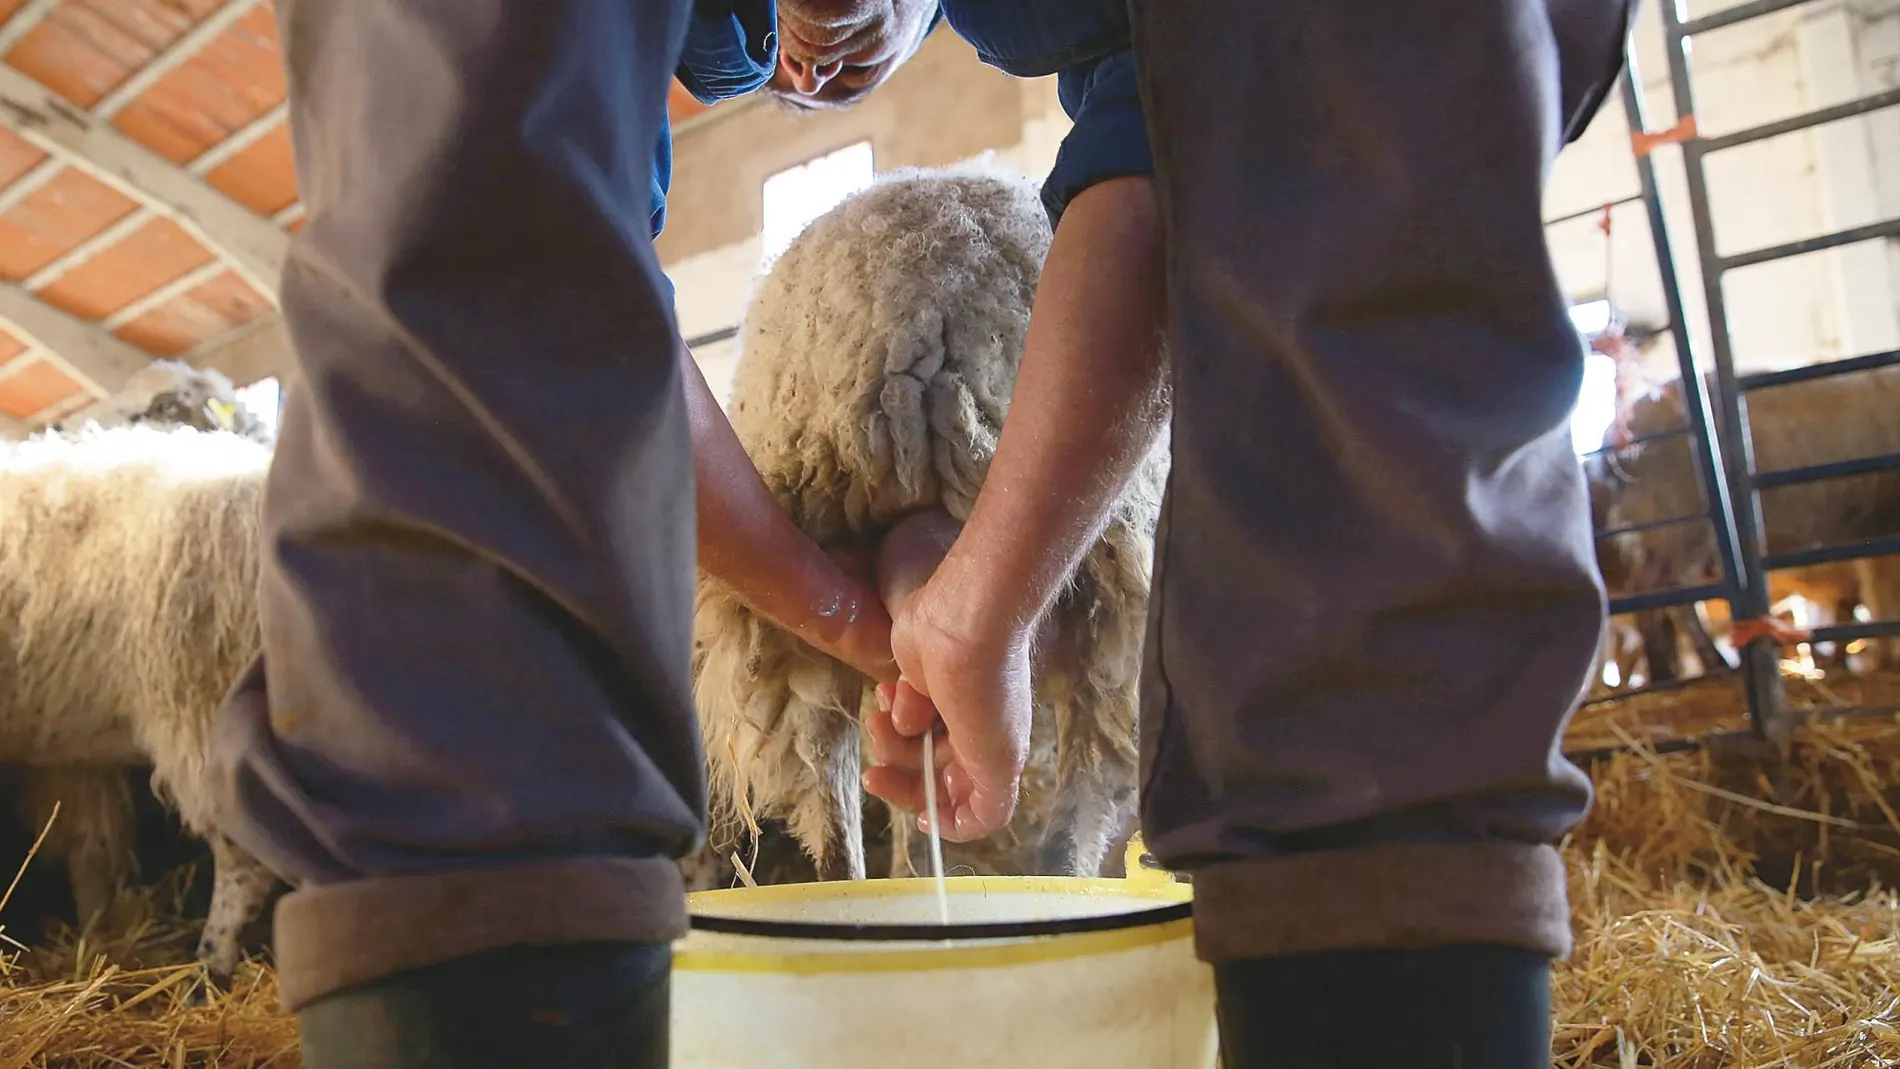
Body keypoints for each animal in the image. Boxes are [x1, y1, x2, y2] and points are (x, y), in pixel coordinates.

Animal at [0, 419, 281, 987]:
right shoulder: (70, 760)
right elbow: (90, 851)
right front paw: (95, 939)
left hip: (203, 703)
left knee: (244, 860)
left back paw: (207, 969)